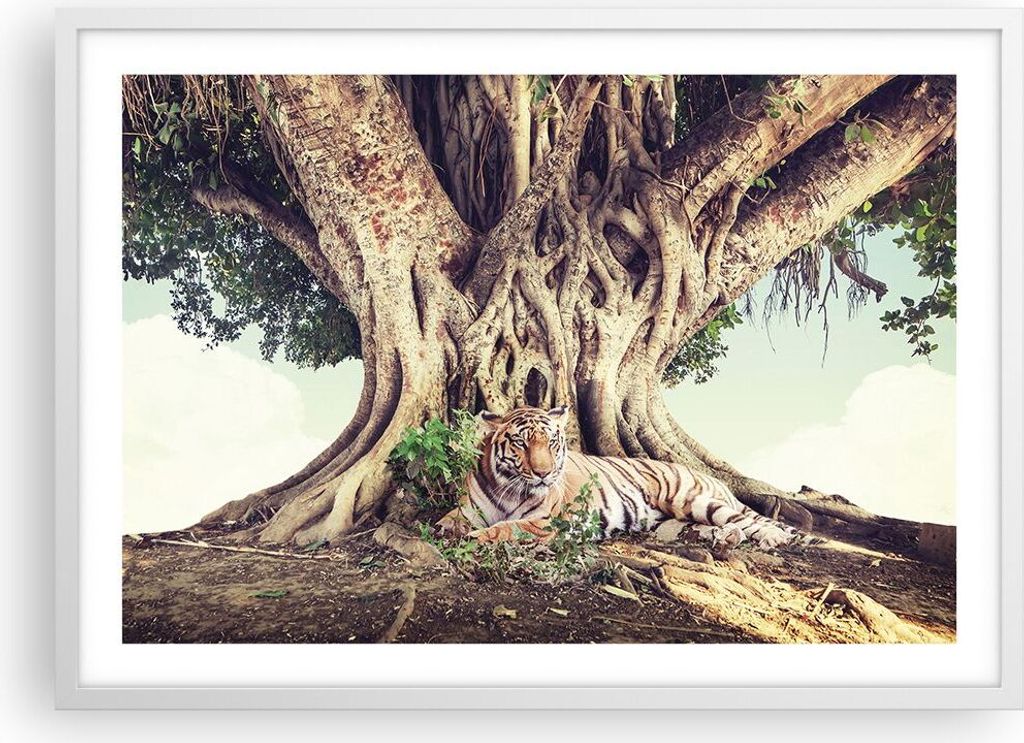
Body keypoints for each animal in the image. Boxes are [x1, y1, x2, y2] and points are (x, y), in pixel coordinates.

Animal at [437, 405, 817, 550]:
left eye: (552, 443)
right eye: (521, 443)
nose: (544, 473)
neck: (508, 489)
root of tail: (716, 478)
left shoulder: (544, 522)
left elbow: (505, 528)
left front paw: (474, 537)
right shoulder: (468, 508)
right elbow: (449, 520)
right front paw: (443, 530)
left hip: (690, 499)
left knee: (747, 520)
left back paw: (771, 539)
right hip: (681, 517)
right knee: (720, 526)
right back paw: (725, 540)